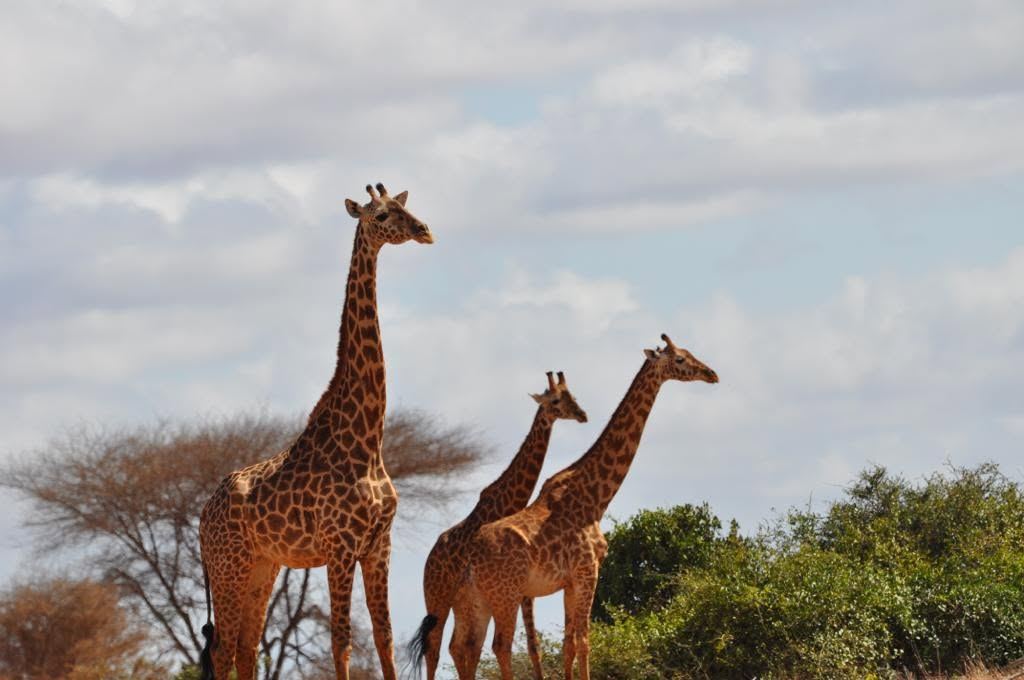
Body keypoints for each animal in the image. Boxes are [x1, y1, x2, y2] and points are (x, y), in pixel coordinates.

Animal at [198, 183, 434, 680]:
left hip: (262, 566)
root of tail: (201, 517)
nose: (425, 230)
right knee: (223, 650)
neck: (367, 441)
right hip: (229, 566)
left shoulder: (378, 545)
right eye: (382, 215)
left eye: (405, 206)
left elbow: (384, 637)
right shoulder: (339, 546)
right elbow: (340, 641)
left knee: (246, 647)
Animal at [406, 371, 589, 680]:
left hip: (463, 601)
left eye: (572, 395)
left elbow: (527, 644)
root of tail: (428, 560)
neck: (510, 501)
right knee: (435, 647)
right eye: (555, 400)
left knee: (458, 646)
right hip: (438, 596)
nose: (582, 414)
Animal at [451, 334, 718, 680]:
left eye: (688, 352)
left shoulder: (568, 581)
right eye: (680, 359)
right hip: (506, 594)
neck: (597, 497)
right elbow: (585, 640)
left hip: (476, 599)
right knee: (499, 645)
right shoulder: (588, 571)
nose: (712, 373)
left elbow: (569, 644)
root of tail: (469, 557)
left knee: (468, 647)